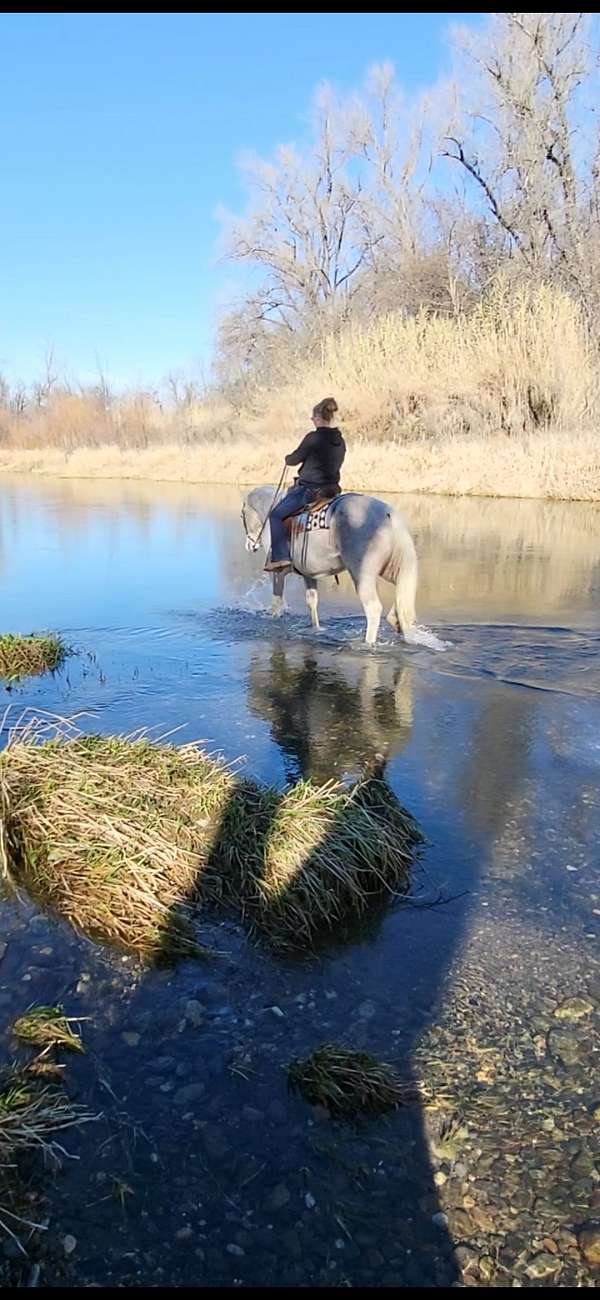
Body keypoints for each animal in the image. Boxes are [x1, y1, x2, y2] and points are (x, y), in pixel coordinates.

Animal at [241, 486, 444, 647]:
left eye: (243, 515)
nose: (250, 545)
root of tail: (389, 516)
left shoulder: (278, 574)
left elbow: (276, 602)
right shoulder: (309, 575)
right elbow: (312, 602)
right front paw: (316, 630)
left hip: (362, 575)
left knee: (373, 609)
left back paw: (367, 643)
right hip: (399, 569)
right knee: (401, 604)